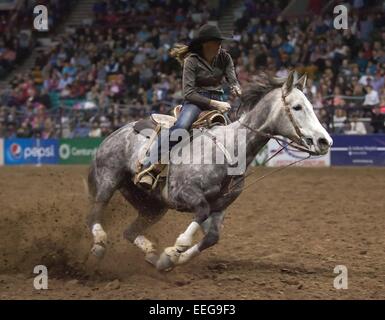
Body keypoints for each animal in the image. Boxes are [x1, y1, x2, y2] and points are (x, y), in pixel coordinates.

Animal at [87, 71, 332, 272]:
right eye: (297, 107)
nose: (325, 141)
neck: (232, 149)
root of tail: (115, 132)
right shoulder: (186, 194)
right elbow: (200, 215)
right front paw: (174, 251)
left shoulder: (220, 206)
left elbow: (212, 236)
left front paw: (169, 259)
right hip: (108, 178)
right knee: (96, 210)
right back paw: (99, 244)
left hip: (152, 206)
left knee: (128, 232)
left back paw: (151, 254)